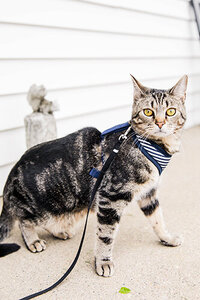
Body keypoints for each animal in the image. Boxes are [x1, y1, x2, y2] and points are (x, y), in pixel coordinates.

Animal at [0, 75, 188, 276]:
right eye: (147, 112)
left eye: (170, 111)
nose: (160, 123)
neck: (153, 147)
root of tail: (12, 171)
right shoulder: (111, 198)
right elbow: (105, 235)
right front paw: (103, 262)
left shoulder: (149, 193)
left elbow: (158, 219)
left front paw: (167, 238)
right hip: (44, 207)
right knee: (24, 220)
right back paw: (33, 240)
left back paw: (59, 231)